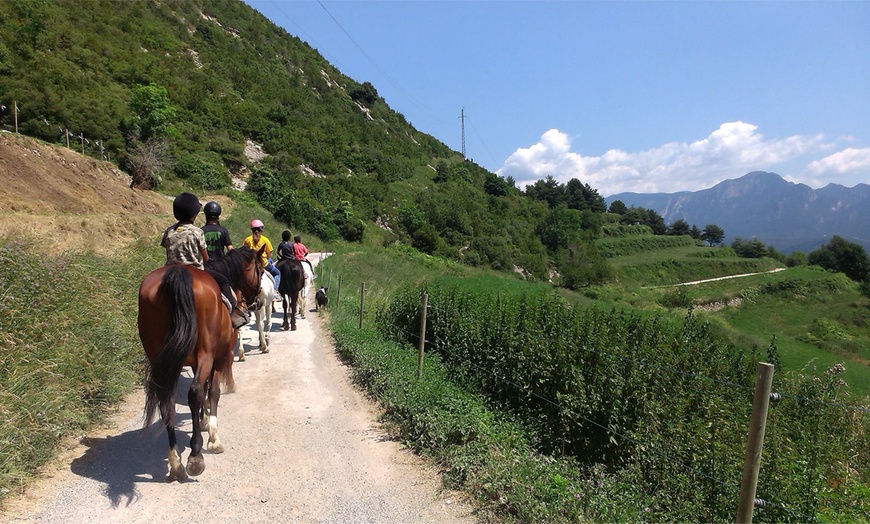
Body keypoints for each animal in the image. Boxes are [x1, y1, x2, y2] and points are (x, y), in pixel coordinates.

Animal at [137, 247, 262, 484]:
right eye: (260, 268)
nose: (257, 300)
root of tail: (177, 274)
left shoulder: (197, 362)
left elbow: (204, 390)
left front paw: (203, 420)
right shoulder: (218, 358)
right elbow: (212, 392)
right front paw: (213, 436)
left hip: (161, 358)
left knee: (167, 400)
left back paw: (175, 462)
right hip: (206, 354)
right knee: (194, 392)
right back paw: (195, 456)